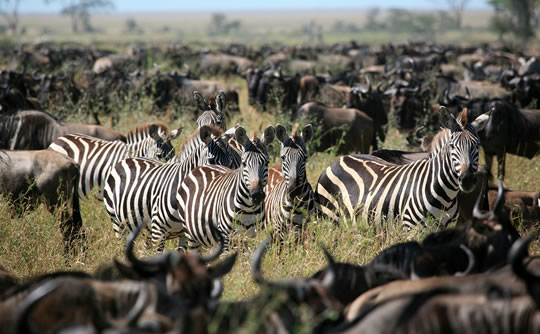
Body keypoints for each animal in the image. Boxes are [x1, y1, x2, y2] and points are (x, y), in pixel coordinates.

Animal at [103, 124, 240, 250]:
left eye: (231, 161)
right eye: (211, 161)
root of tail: (128, 158)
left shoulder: (185, 234)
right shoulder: (158, 231)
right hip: (117, 222)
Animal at [314, 108, 492, 228]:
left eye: (477, 145)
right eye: (452, 146)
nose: (467, 179)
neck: (446, 196)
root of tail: (340, 159)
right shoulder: (410, 228)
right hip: (331, 218)